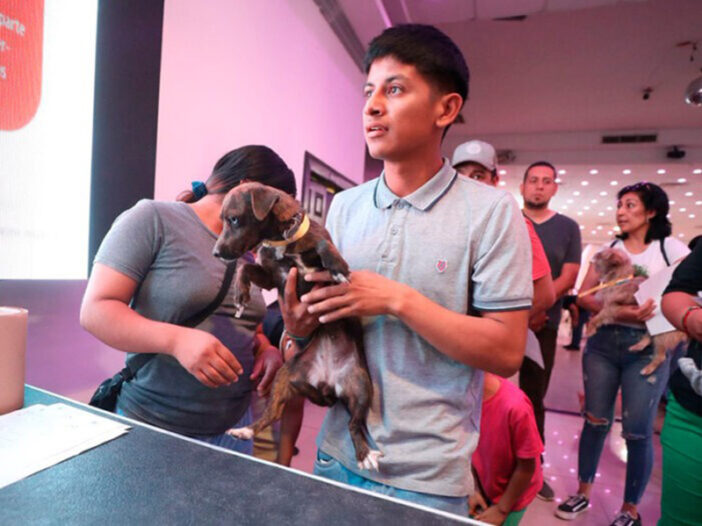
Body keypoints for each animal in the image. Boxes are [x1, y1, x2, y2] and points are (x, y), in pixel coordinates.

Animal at [212, 182, 381, 471]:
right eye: (224, 219)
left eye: (233, 219)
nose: (216, 253)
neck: (282, 240)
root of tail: (327, 385)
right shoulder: (272, 278)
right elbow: (246, 268)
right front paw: (241, 295)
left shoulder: (321, 272)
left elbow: (324, 244)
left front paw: (338, 266)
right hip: (285, 377)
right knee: (273, 413)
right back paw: (246, 430)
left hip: (360, 387)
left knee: (354, 424)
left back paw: (364, 454)